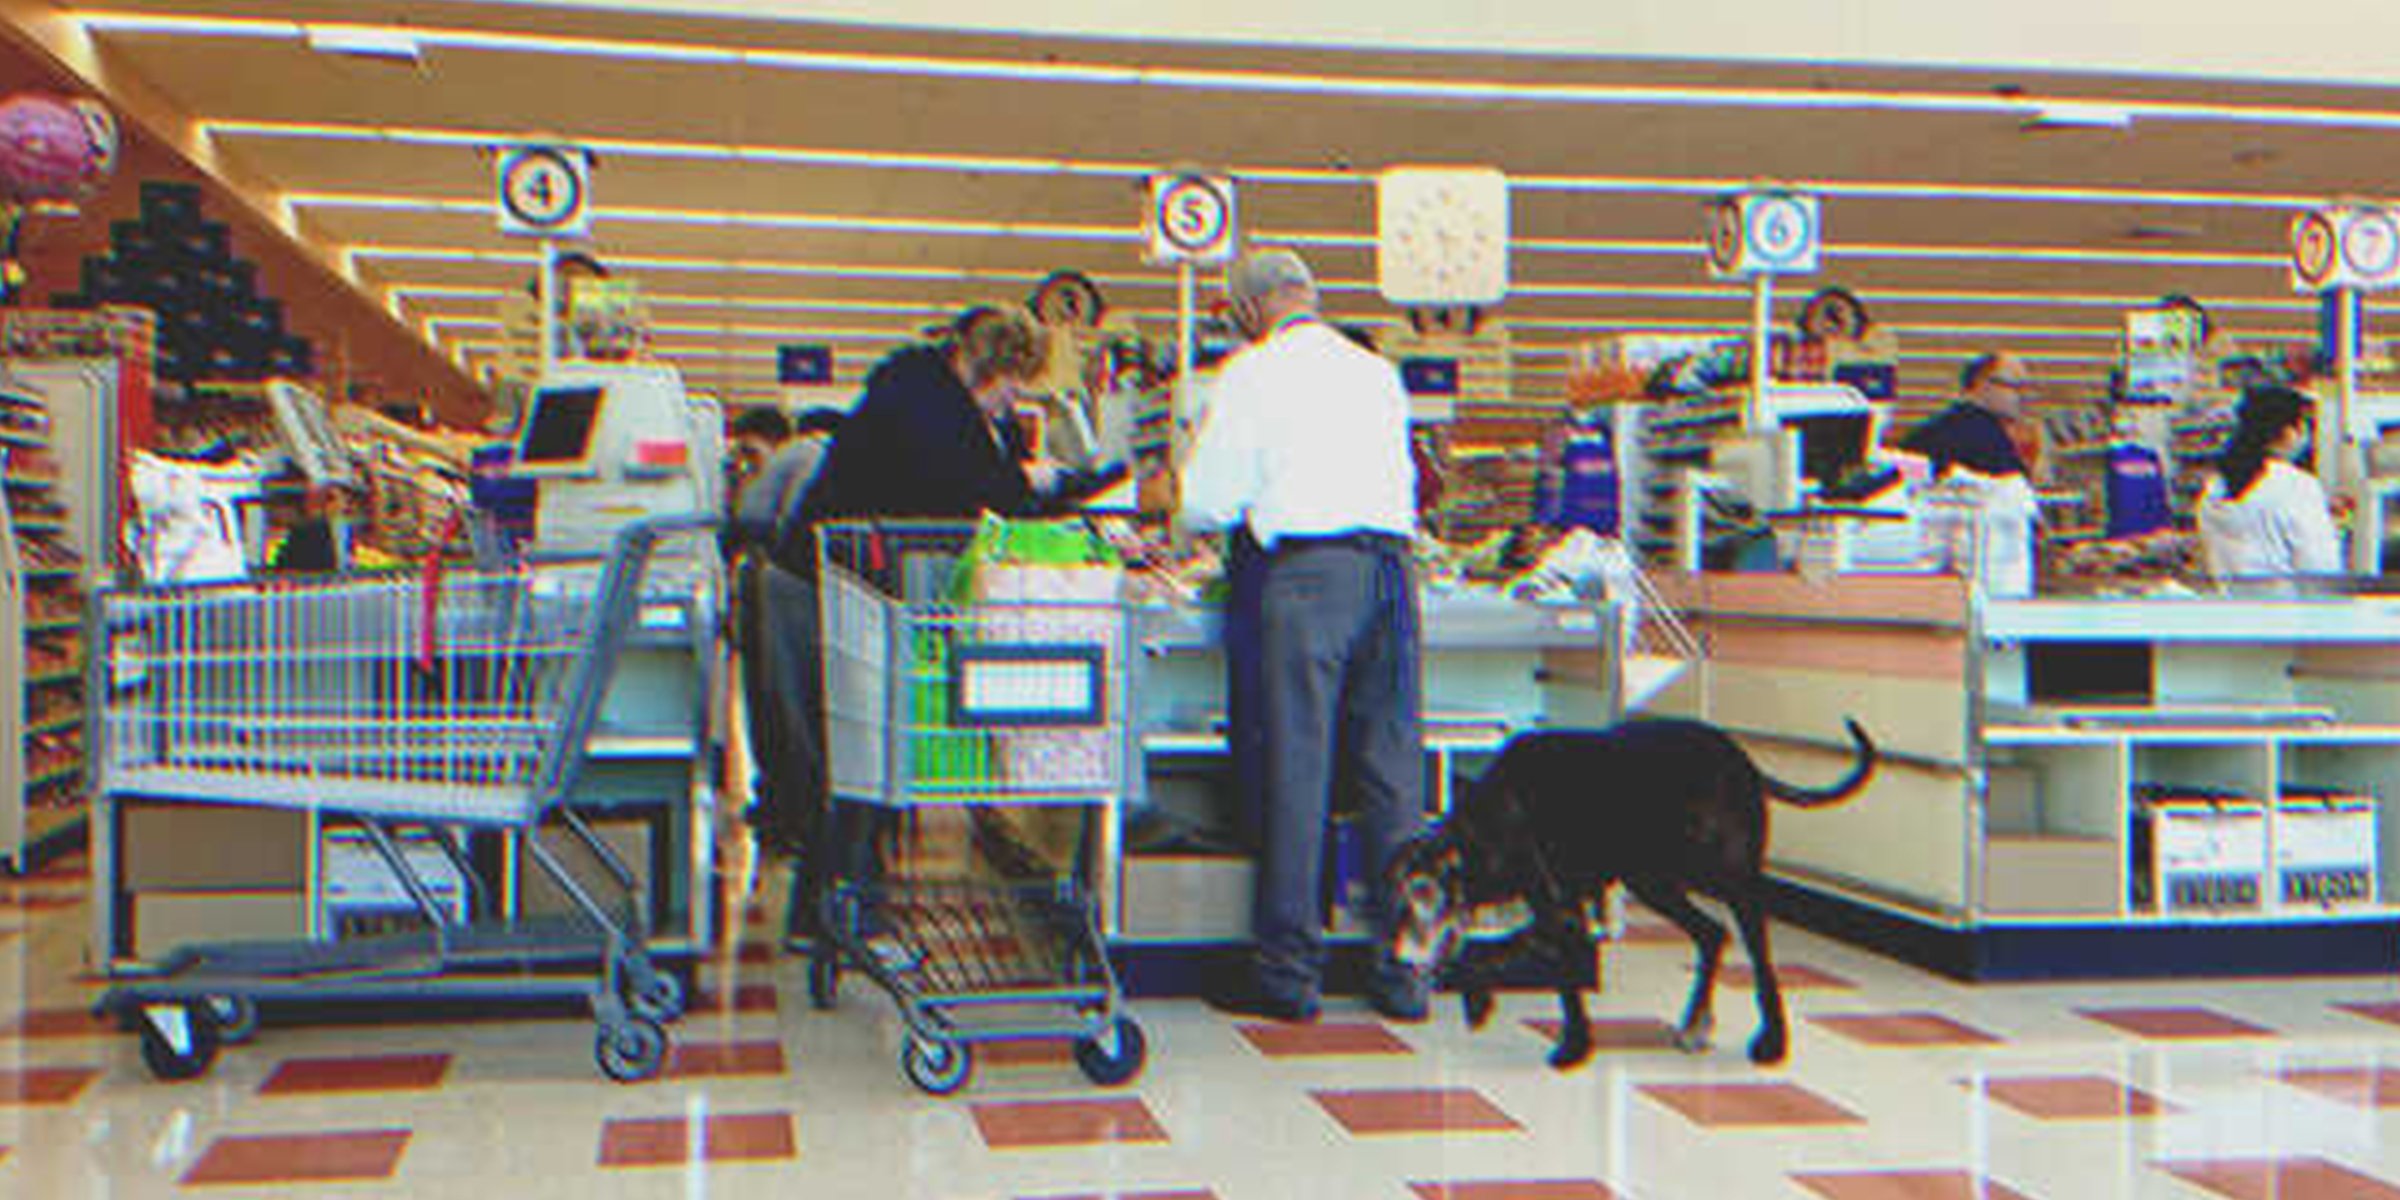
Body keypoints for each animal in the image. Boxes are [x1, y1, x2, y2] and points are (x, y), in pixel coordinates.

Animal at [1392, 710, 1872, 1070]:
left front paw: (1572, 1047)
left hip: (1729, 879)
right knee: (1712, 934)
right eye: (1398, 895)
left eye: (1424, 891)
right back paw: (1695, 1022)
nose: (1398, 954)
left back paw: (1772, 1041)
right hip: (1653, 879)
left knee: (1759, 957)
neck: (1493, 820)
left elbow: (1528, 963)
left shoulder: (1559, 911)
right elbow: (1497, 952)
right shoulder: (1558, 909)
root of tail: (1743, 761)